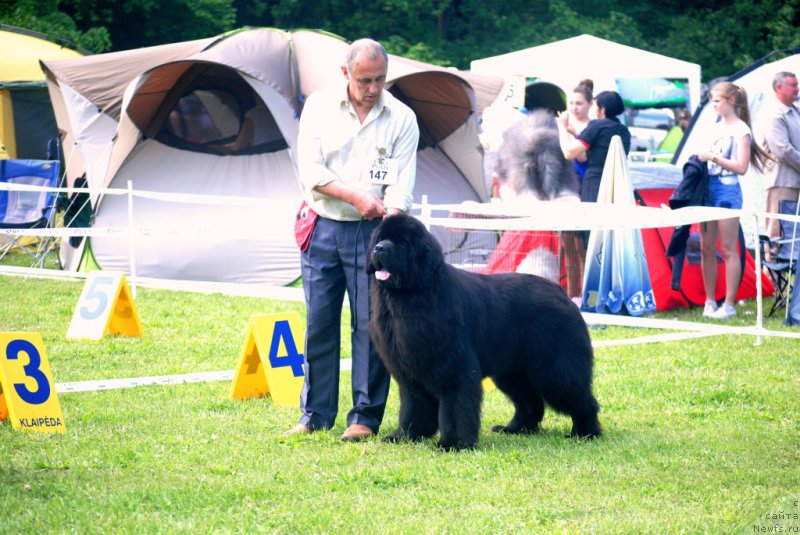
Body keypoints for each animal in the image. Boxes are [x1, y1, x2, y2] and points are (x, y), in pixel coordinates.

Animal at [368, 214, 600, 452]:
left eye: (403, 243)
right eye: (380, 238)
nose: (379, 248)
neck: (412, 296)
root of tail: (561, 292)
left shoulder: (455, 368)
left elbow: (454, 408)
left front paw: (453, 443)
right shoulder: (410, 373)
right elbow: (413, 407)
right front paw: (405, 436)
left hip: (556, 370)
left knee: (582, 399)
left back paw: (586, 432)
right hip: (513, 372)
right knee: (531, 402)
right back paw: (515, 429)